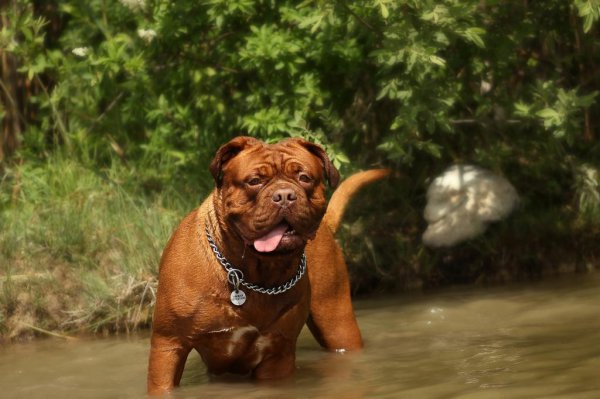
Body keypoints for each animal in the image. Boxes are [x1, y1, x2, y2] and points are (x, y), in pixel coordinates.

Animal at [147, 138, 386, 394]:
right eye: (254, 181)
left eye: (304, 177)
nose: (284, 195)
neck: (249, 272)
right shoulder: (168, 346)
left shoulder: (277, 354)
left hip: (338, 322)